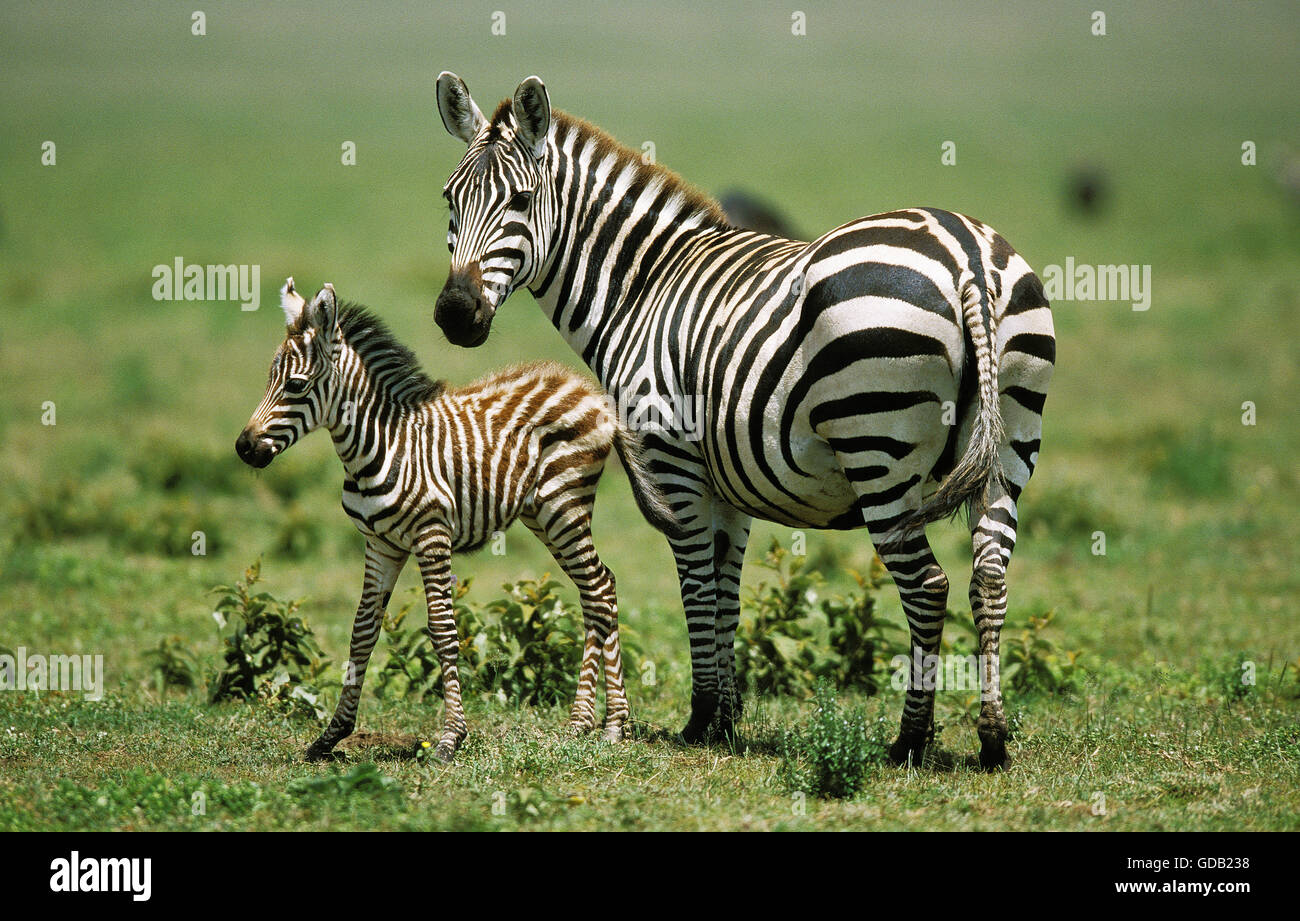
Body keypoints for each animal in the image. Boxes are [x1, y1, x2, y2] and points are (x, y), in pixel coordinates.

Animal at [431, 73, 1050, 770]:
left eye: (519, 200)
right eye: (450, 199)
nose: (454, 314)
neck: (643, 286)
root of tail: (967, 256)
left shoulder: (671, 459)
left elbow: (696, 583)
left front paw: (701, 717)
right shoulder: (731, 480)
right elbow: (726, 586)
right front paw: (727, 717)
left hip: (878, 449)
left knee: (928, 585)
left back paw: (909, 741)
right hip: (1010, 446)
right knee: (988, 576)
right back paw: (992, 738)